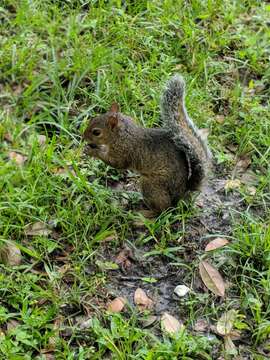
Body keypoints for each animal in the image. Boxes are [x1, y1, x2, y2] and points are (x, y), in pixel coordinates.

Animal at [82, 74, 211, 212]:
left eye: (96, 132)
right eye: (93, 119)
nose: (83, 136)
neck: (122, 134)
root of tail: (181, 195)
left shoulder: (125, 151)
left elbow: (116, 163)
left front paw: (93, 151)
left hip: (151, 185)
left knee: (163, 209)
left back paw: (143, 214)